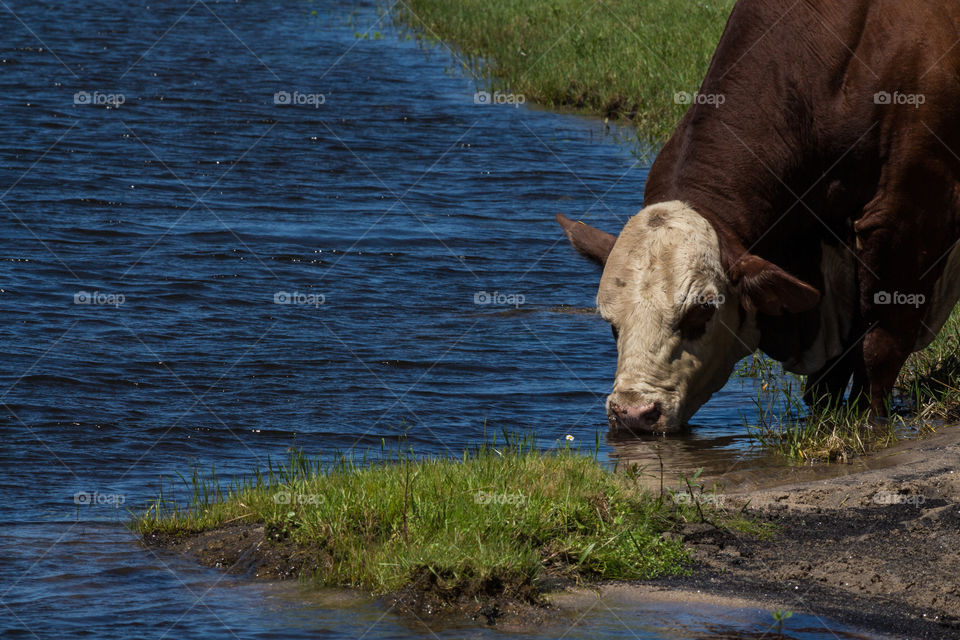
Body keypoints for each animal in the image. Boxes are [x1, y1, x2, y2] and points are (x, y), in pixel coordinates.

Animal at [560, 0, 960, 436]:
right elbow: (834, 367)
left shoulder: (906, 217)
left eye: (702, 311)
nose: (633, 414)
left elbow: (879, 344)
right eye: (611, 322)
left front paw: (872, 423)